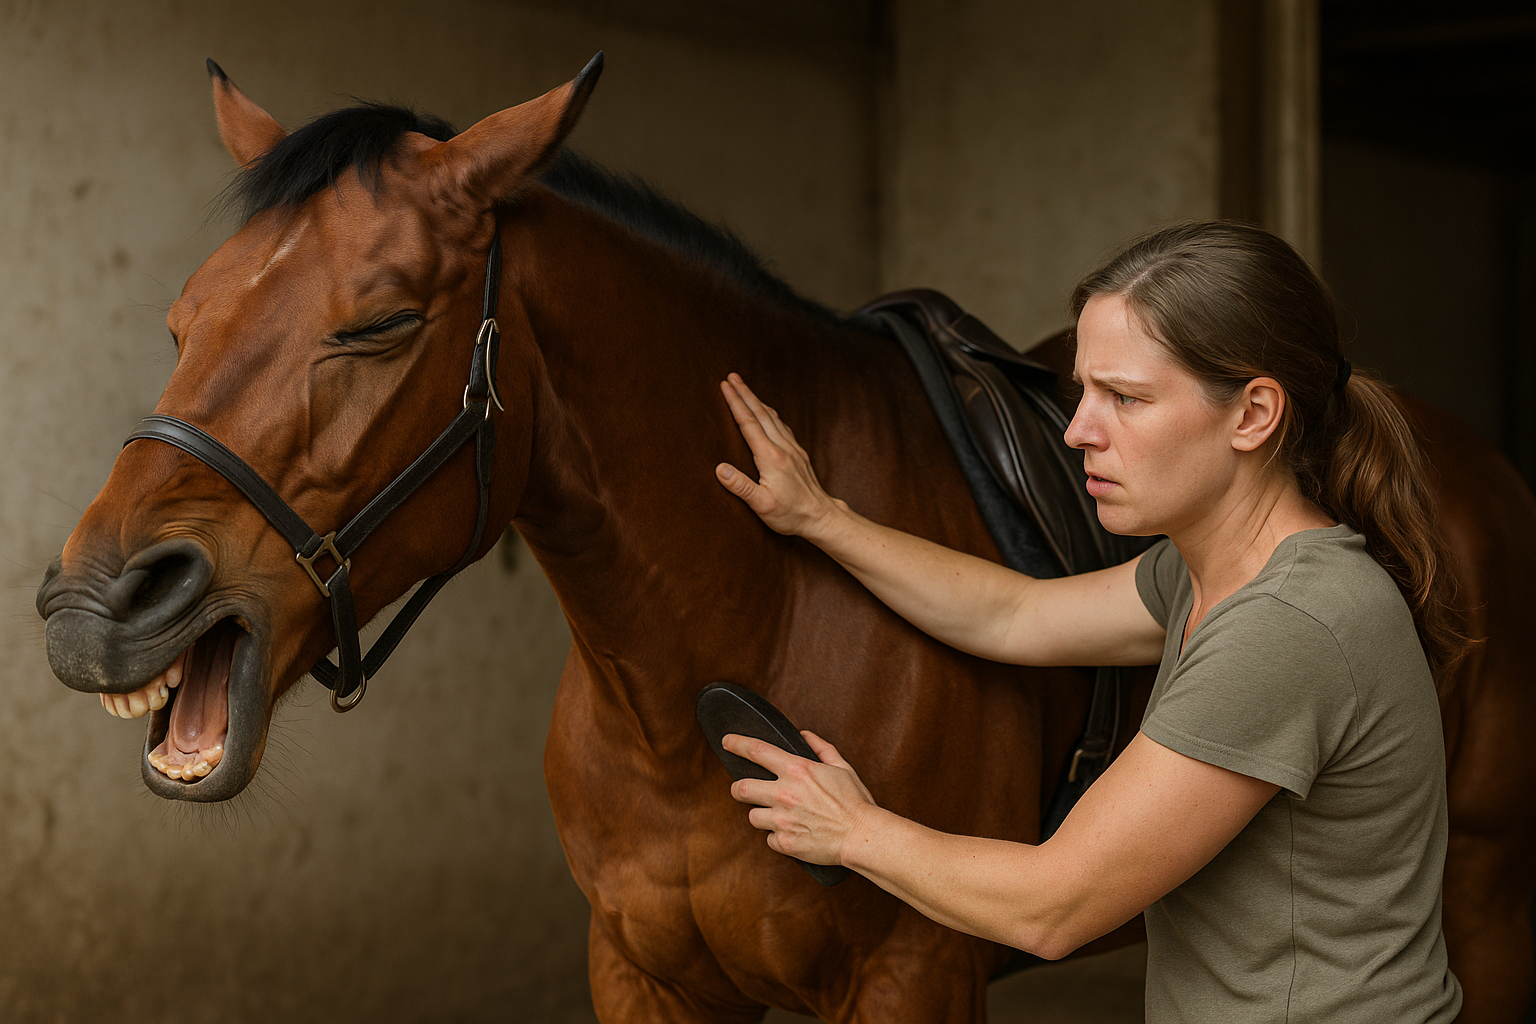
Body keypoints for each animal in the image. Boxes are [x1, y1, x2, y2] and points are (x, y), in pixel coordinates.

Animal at [34, 57, 1536, 1023]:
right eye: (184, 317)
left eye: (384, 319)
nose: (101, 606)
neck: (712, 652)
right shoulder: (643, 975)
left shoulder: (909, 981)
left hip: (1482, 899)